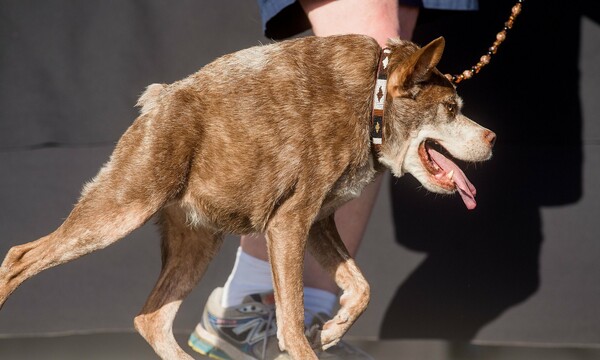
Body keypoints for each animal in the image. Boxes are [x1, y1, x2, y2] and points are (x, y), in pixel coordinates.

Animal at [0, 34, 494, 360]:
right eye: (451, 109)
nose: (493, 138)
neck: (370, 102)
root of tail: (157, 101)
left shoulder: (317, 222)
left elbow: (361, 287)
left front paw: (332, 331)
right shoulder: (288, 223)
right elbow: (292, 322)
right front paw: (311, 340)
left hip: (198, 241)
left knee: (150, 319)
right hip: (121, 208)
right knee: (19, 257)